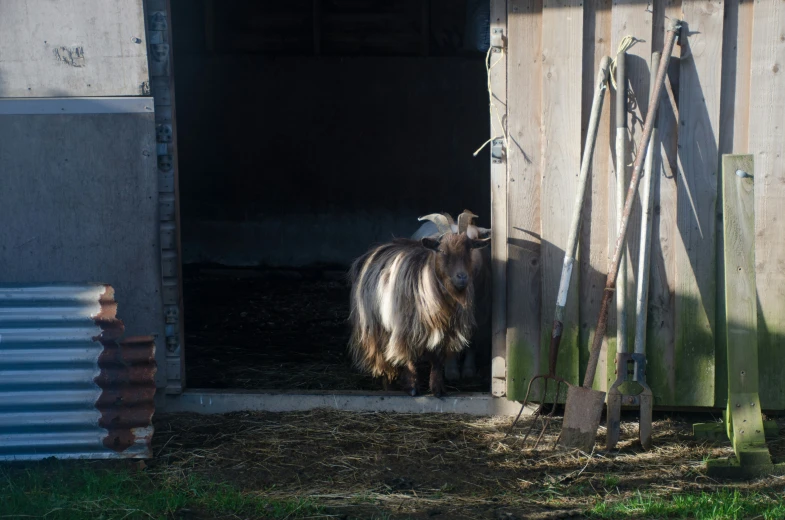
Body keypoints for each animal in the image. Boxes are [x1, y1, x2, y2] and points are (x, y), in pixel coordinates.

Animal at [346, 209, 486, 396]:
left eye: (469, 248)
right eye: (441, 251)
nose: (462, 277)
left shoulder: (444, 330)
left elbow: (437, 360)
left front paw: (437, 389)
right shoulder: (405, 328)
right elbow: (410, 358)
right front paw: (413, 388)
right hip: (374, 325)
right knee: (382, 357)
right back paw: (388, 387)